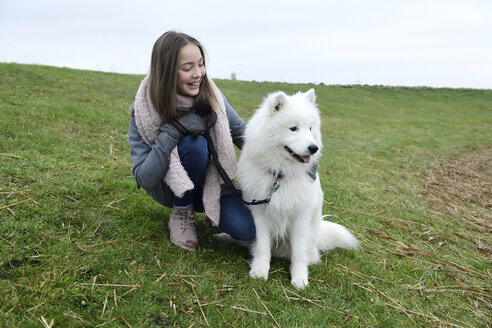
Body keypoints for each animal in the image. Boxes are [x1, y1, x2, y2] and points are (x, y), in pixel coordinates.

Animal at [237, 88, 358, 288]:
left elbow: (298, 252)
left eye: (310, 128)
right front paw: (260, 271)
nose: (313, 148)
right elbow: (263, 247)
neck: (280, 177)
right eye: (293, 128)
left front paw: (299, 278)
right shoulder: (260, 214)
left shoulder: (301, 217)